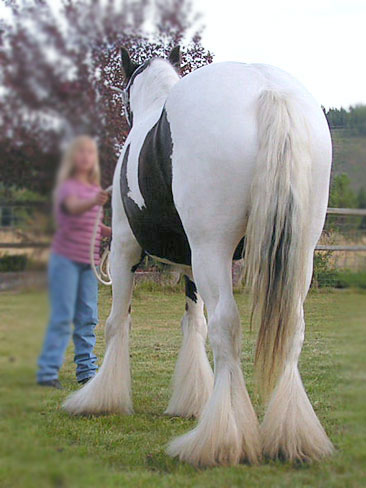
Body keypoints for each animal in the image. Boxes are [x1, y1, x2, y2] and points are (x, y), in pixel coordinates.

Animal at [63, 46, 334, 468]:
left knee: (227, 328)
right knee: (292, 329)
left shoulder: (125, 249)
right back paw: (292, 436)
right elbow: (194, 324)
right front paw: (192, 400)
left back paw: (221, 440)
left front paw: (101, 398)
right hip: (298, 252)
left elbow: (116, 323)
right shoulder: (191, 264)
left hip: (213, 248)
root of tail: (267, 89)